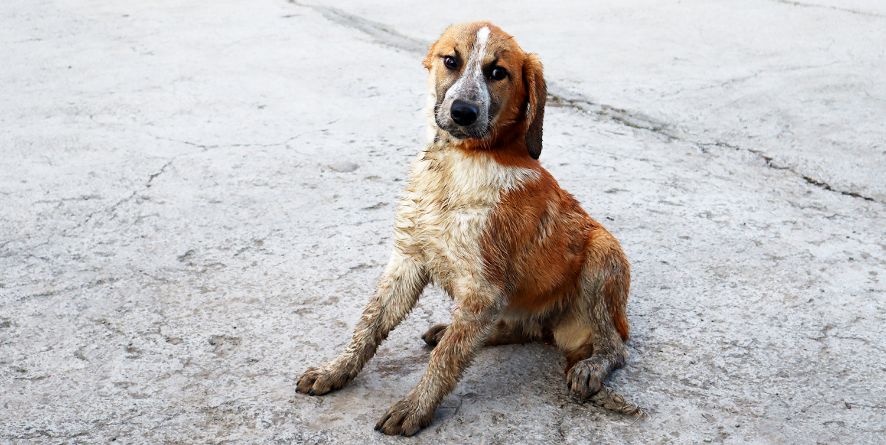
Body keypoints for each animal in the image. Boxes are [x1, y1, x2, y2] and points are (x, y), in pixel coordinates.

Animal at [296, 20, 640, 434]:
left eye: (497, 72)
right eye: (451, 61)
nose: (462, 112)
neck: (458, 163)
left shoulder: (483, 289)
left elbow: (446, 360)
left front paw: (416, 407)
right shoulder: (409, 259)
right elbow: (369, 325)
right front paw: (335, 370)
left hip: (603, 255)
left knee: (615, 346)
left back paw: (592, 366)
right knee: (510, 330)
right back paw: (453, 329)